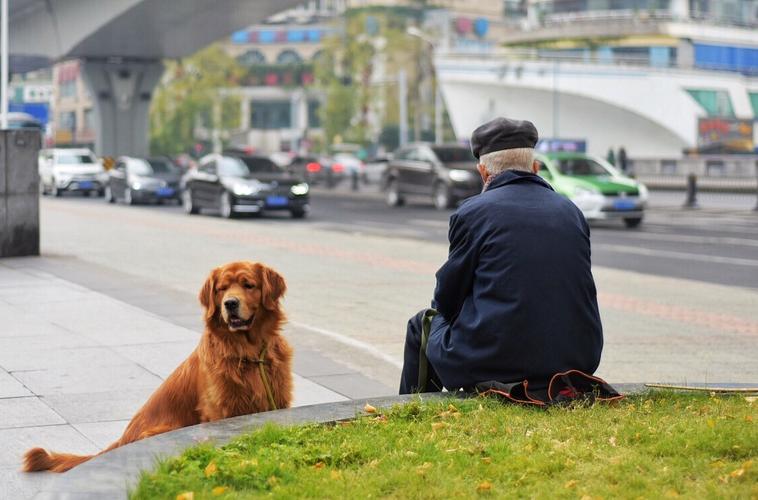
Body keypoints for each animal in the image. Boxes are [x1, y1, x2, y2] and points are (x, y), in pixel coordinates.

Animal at [23, 262, 290, 472]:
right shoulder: (220, 412)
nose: (230, 303)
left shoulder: (277, 402)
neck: (248, 353)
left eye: (248, 285)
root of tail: (121, 441)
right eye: (221, 289)